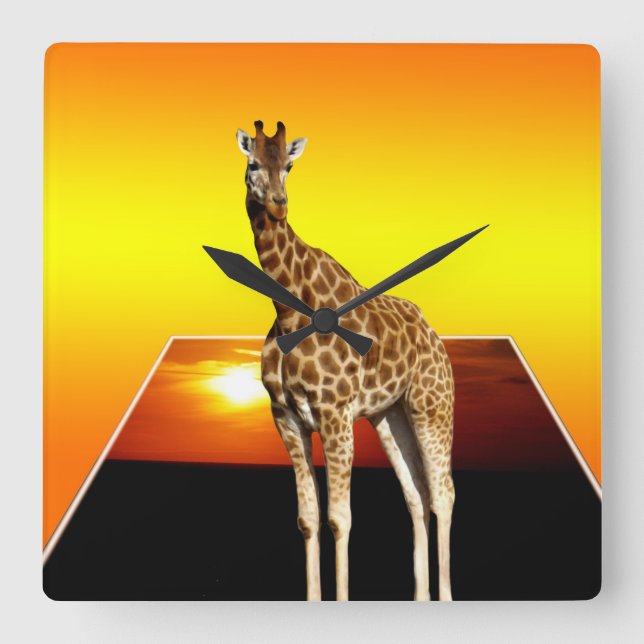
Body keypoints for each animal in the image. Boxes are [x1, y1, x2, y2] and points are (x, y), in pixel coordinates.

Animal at [236, 120, 455, 601]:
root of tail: (433, 333)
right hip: (390, 416)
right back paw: (420, 597)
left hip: (432, 407)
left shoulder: (334, 413)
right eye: (253, 163)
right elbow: (308, 519)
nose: (277, 205)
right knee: (417, 494)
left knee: (443, 493)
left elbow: (339, 518)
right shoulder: (286, 417)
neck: (288, 309)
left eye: (290, 166)